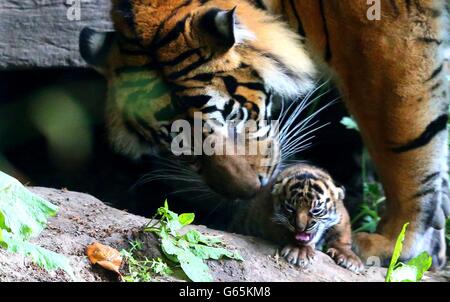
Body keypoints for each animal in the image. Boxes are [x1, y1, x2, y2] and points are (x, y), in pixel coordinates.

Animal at [79, 0, 448, 268]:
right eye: (179, 148)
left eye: (229, 118)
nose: (248, 194)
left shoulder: (385, 34)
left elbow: (404, 145)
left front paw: (395, 241)